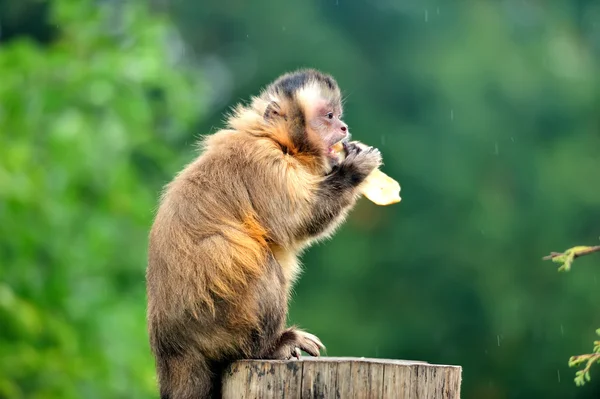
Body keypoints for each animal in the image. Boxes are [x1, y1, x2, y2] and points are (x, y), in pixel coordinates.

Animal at [146, 69, 380, 399]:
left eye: (338, 116)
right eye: (329, 116)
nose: (343, 127)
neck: (277, 141)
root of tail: (169, 345)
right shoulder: (262, 162)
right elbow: (297, 221)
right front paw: (354, 168)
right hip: (216, 325)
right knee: (257, 263)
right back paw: (268, 347)